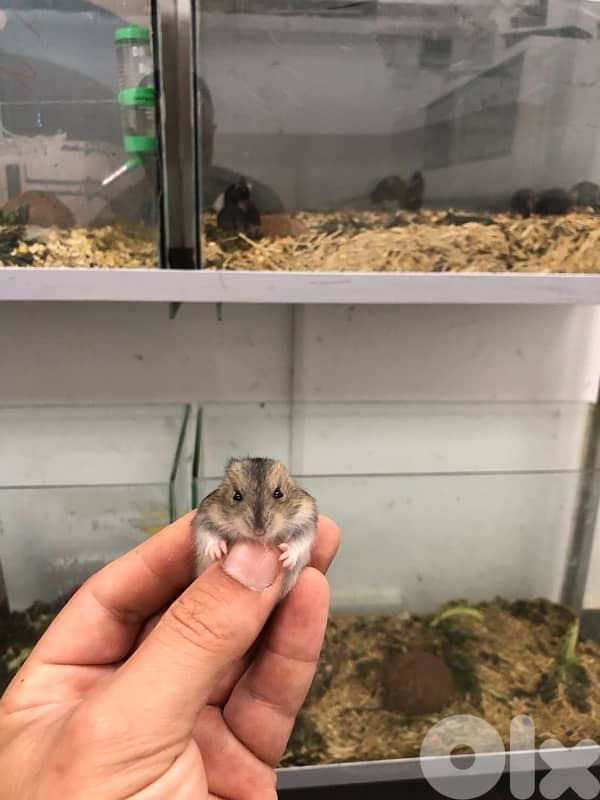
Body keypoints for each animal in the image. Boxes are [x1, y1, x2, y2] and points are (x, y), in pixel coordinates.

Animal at [193, 457, 318, 598]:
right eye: (236, 496)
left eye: (278, 493)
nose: (259, 532)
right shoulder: (205, 516)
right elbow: (208, 535)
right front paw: (218, 551)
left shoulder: (306, 520)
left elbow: (300, 542)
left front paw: (286, 558)